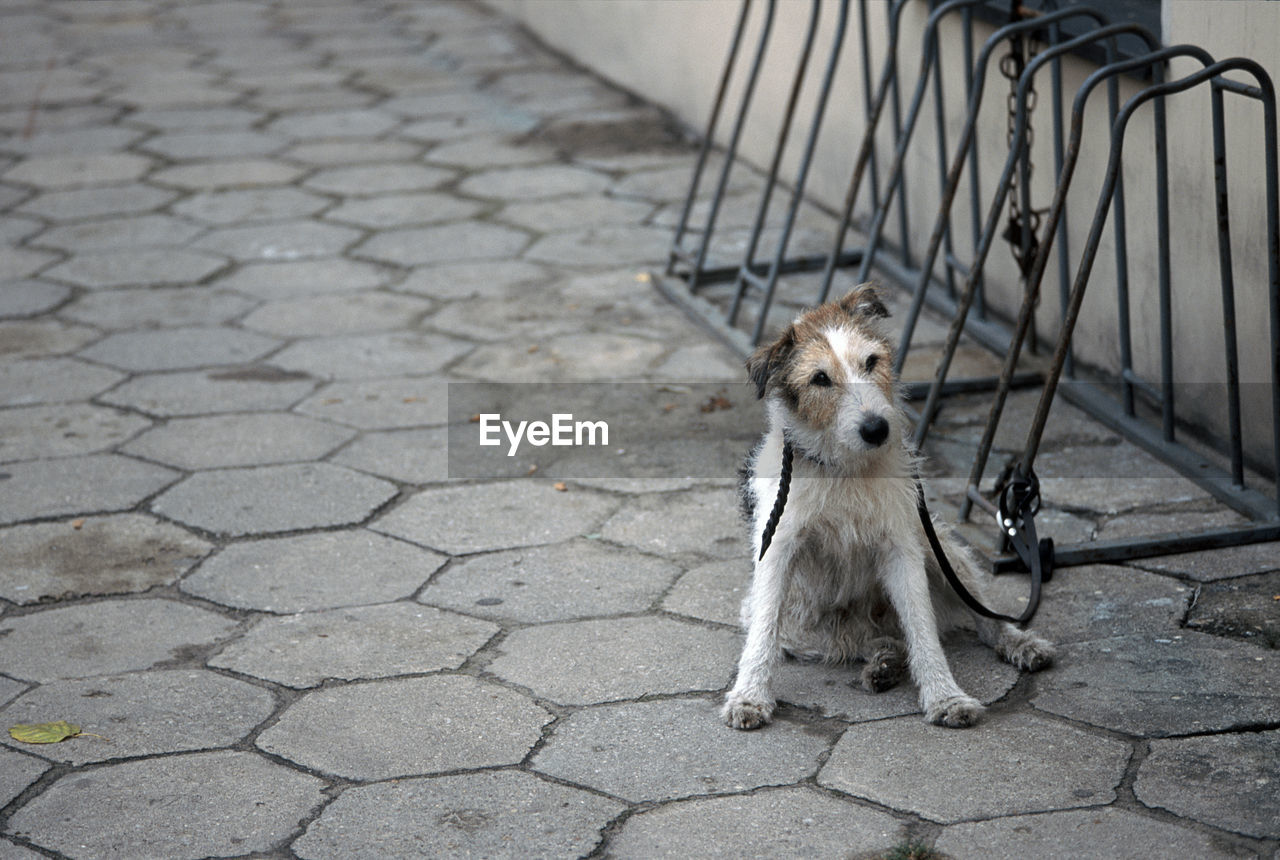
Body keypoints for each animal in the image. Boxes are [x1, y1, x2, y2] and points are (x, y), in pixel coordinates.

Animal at [727, 285, 1054, 726]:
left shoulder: (902, 548)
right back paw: (884, 663)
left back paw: (1016, 643)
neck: (847, 470)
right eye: (820, 378)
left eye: (871, 362)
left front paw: (946, 696)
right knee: (868, 642)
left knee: (979, 618)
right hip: (804, 630)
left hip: (939, 546)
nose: (876, 429)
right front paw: (748, 696)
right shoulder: (777, 551)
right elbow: (762, 634)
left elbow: (923, 629)